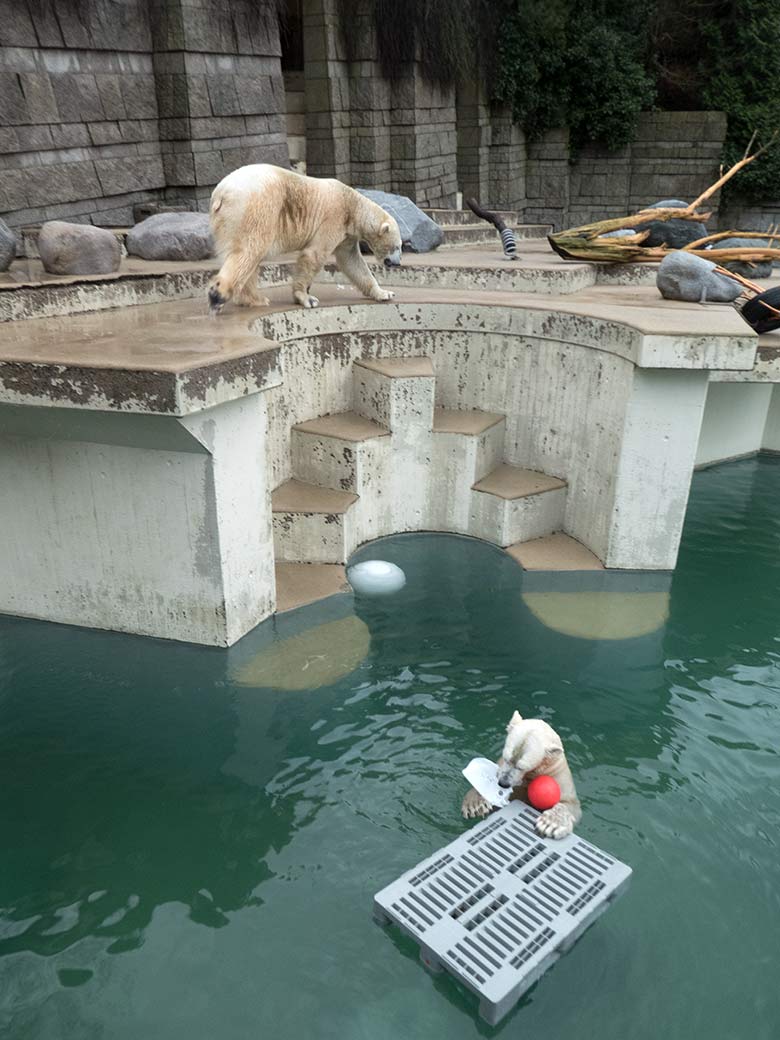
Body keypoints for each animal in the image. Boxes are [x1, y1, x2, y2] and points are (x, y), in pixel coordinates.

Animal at [205, 163, 403, 312]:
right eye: (397, 246)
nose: (397, 263)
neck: (352, 204)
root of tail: (221, 193)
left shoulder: (346, 236)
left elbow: (352, 262)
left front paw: (385, 293)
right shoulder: (333, 218)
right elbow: (314, 254)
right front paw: (306, 298)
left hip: (227, 222)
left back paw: (253, 299)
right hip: (257, 208)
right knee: (250, 249)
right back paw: (219, 294)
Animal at [461, 711, 582, 840]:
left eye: (521, 767)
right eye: (506, 758)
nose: (503, 783)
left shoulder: (558, 775)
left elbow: (570, 803)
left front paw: (550, 823)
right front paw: (475, 804)